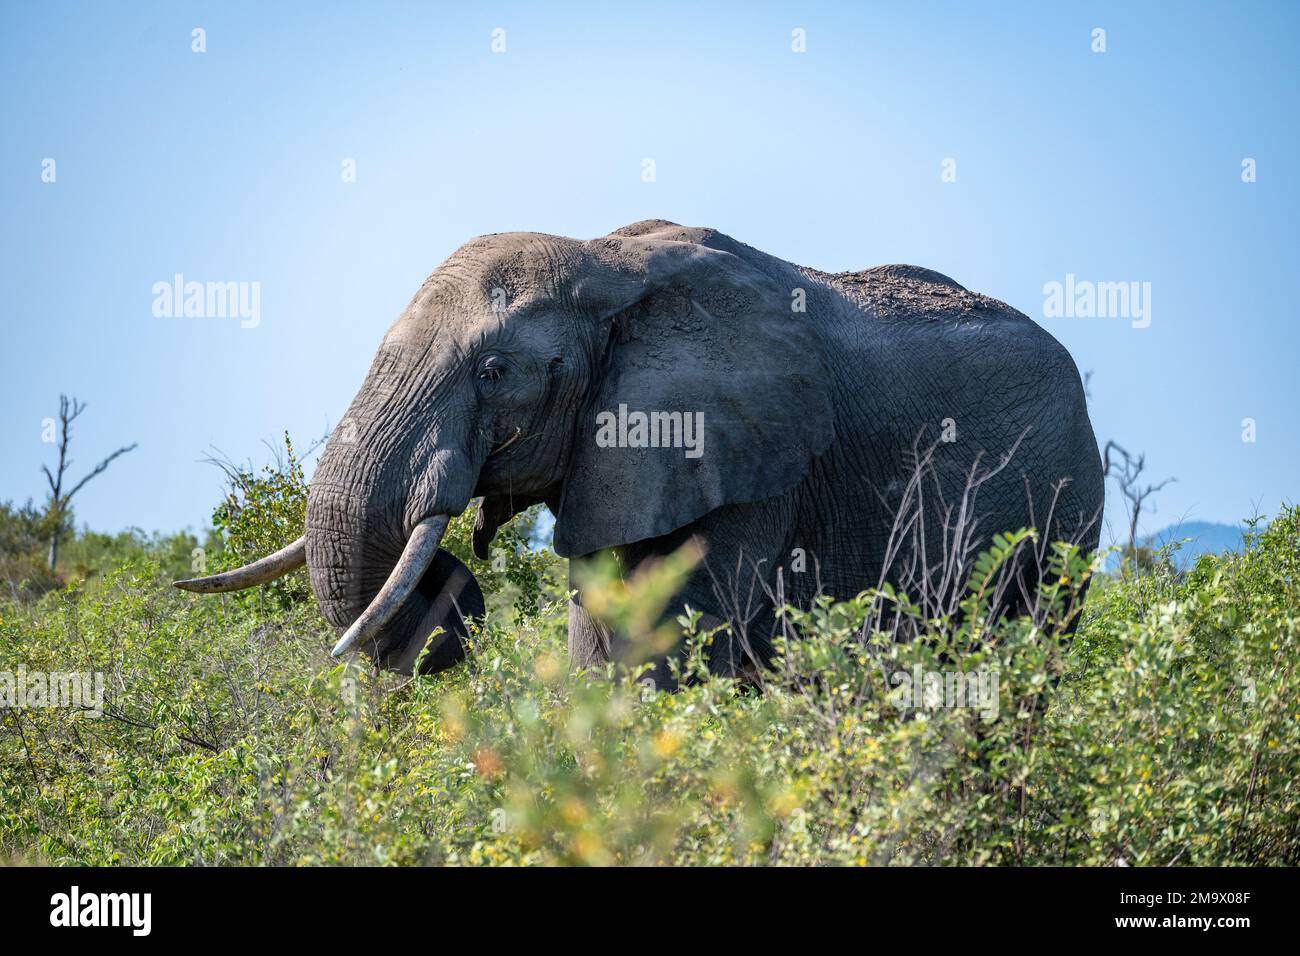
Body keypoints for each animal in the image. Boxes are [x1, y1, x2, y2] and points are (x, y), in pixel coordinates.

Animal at [175, 220, 1104, 684]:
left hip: (1064, 519)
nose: (456, 584)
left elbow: (662, 643)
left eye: (494, 373)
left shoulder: (752, 462)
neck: (606, 262)